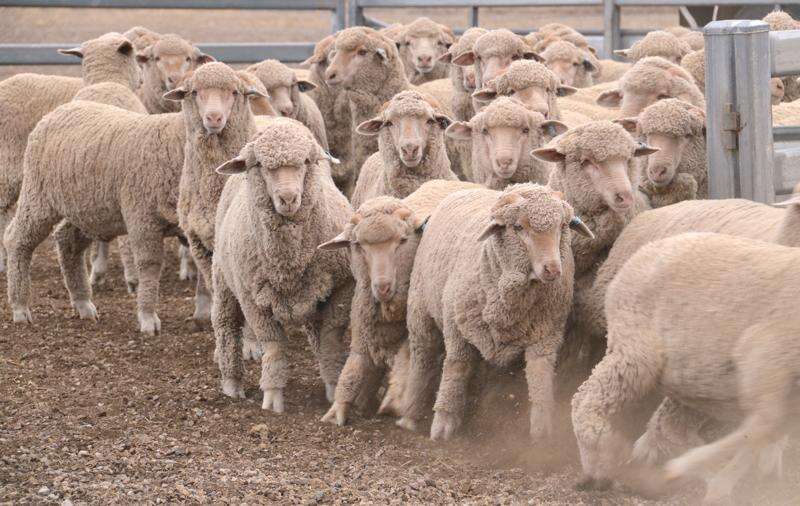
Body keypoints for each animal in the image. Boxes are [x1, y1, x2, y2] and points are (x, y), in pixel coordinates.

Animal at [4, 62, 263, 335]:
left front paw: (203, 313)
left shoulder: (196, 224)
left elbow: (205, 271)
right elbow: (149, 266)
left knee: (67, 242)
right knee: (18, 239)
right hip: (38, 197)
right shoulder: (142, 217)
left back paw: (83, 304)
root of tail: (58, 111)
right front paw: (148, 318)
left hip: (87, 210)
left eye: (235, 92)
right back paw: (20, 307)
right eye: (194, 93)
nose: (213, 118)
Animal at [212, 117, 352, 411]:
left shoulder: (341, 289)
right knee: (226, 326)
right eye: (261, 166)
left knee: (316, 331)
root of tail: (274, 118)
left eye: (305, 162)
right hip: (224, 278)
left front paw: (334, 386)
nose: (288, 199)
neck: (288, 264)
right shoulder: (252, 298)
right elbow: (273, 344)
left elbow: (330, 340)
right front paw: (272, 394)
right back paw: (231, 383)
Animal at [318, 179, 481, 426]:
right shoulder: (364, 328)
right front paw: (338, 408)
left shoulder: (412, 329)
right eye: (358, 245)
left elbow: (407, 362)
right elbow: (354, 367)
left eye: (402, 241)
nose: (382, 287)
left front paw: (394, 401)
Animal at [395, 183, 595, 440]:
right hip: (420, 308)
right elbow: (456, 367)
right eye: (518, 227)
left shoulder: (546, 334)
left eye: (562, 226)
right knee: (423, 356)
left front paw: (542, 429)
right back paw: (410, 413)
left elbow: (540, 376)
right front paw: (443, 422)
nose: (552, 269)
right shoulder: (456, 325)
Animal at [572, 232, 800, 502]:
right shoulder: (766, 350)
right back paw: (602, 463)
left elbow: (768, 428)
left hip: (693, 379)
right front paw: (710, 479)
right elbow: (765, 423)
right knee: (585, 399)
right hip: (635, 349)